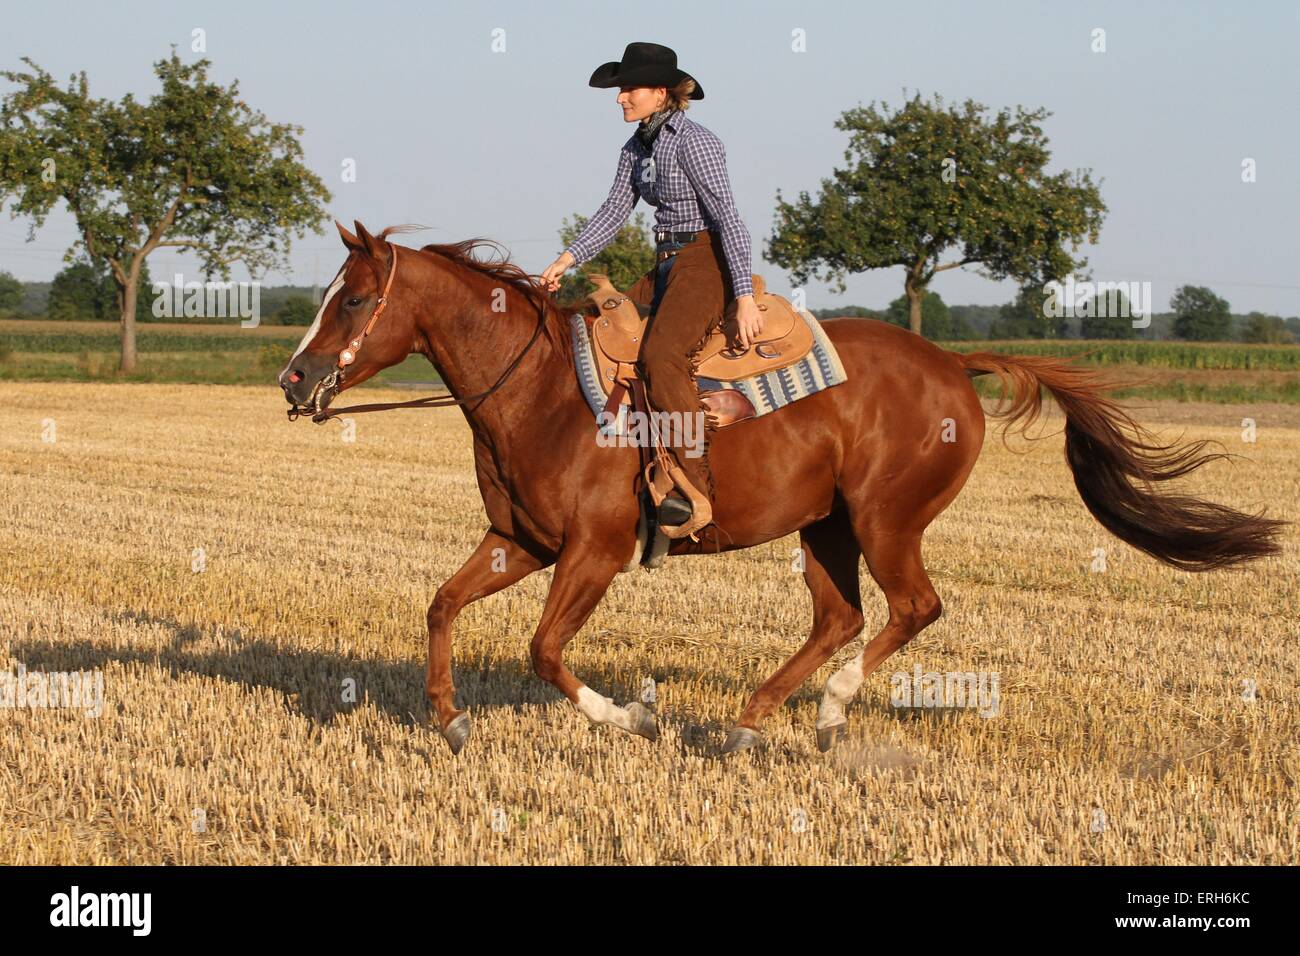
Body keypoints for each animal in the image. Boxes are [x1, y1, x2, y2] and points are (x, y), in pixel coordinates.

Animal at [279, 220, 1286, 756]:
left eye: (356, 299)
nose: (295, 380)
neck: (546, 394)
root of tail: (952, 364)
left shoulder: (593, 554)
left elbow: (544, 651)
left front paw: (630, 713)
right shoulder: (520, 542)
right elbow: (442, 605)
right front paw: (449, 721)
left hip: (885, 519)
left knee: (911, 608)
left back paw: (828, 710)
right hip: (825, 525)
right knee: (841, 616)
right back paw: (753, 720)